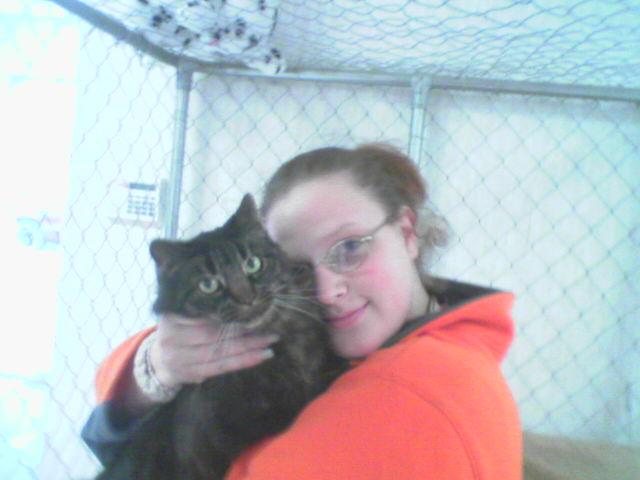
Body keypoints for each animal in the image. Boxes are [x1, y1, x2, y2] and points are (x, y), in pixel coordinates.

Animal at [96, 194, 348, 480]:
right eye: (208, 285)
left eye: (253, 263)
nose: (248, 298)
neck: (283, 333)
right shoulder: (209, 443)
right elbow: (299, 399)